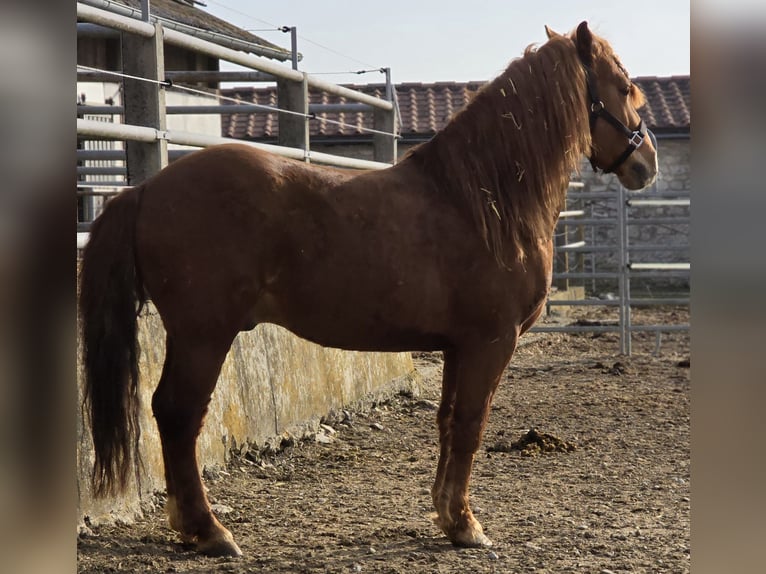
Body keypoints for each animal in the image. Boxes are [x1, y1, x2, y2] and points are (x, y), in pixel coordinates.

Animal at [79, 22, 660, 560]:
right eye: (624, 85)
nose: (648, 162)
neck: (481, 202)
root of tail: (145, 188)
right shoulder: (490, 342)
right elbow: (471, 426)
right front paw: (467, 526)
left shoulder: (458, 347)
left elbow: (449, 423)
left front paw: (447, 515)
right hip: (203, 335)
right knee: (178, 414)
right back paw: (209, 531)